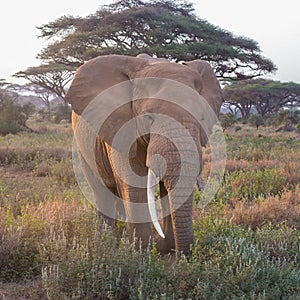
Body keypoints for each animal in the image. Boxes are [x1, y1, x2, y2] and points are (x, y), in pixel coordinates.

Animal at [66, 54, 223, 258]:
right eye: (149, 117)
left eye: (202, 117)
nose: (184, 256)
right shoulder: (122, 128)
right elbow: (134, 184)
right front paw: (141, 254)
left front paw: (164, 248)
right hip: (82, 147)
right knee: (102, 192)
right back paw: (107, 245)